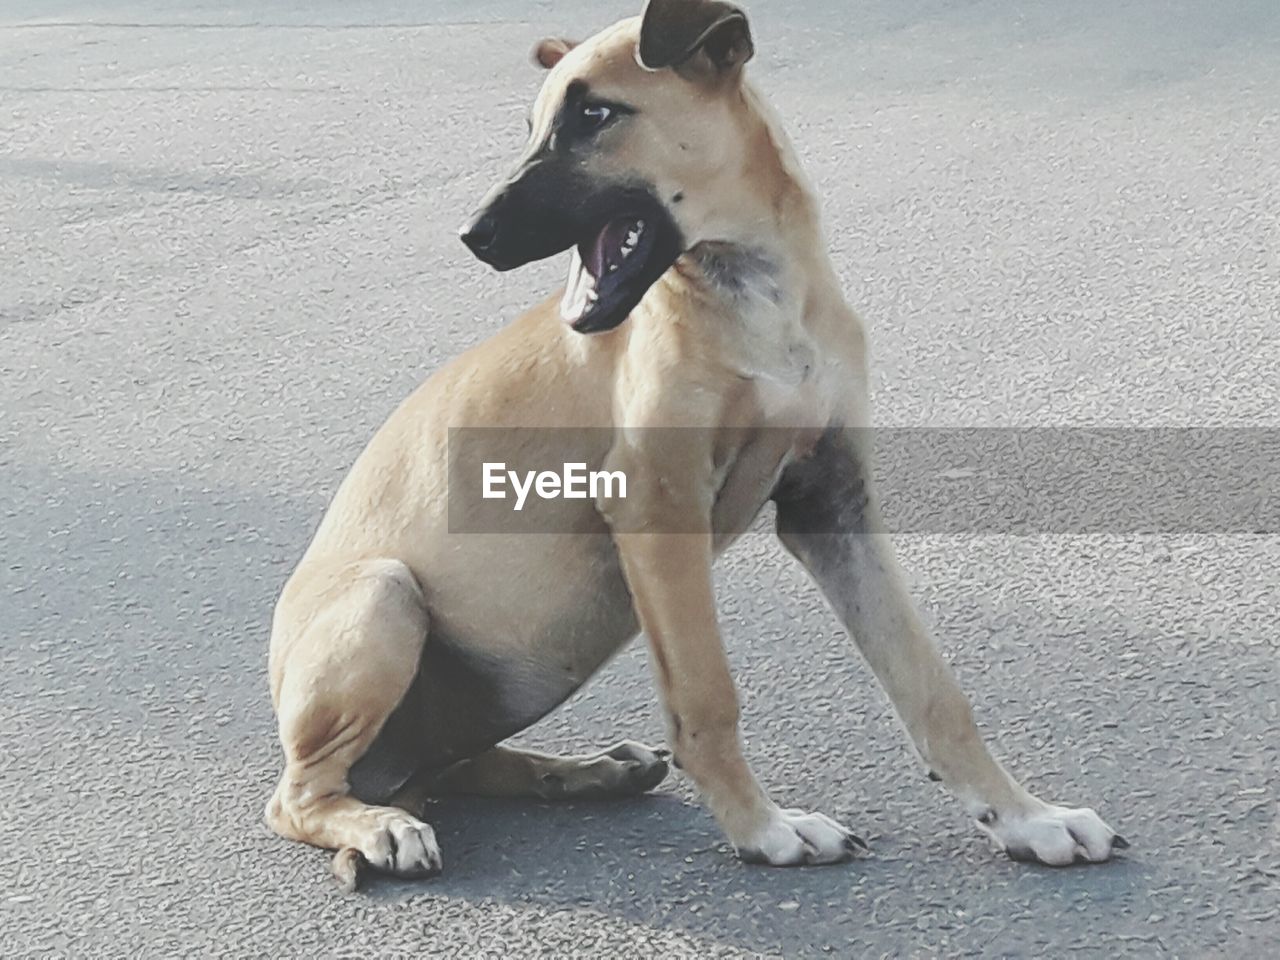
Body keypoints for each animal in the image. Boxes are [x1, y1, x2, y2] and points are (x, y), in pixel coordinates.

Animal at [264, 0, 1126, 896]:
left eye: (594, 116)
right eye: (534, 125)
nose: (473, 235)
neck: (755, 296)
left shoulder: (833, 508)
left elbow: (933, 689)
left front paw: (1025, 818)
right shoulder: (659, 512)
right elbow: (709, 697)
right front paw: (766, 831)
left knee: (456, 765)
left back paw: (581, 772)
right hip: (385, 597)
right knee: (301, 796)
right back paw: (382, 824)